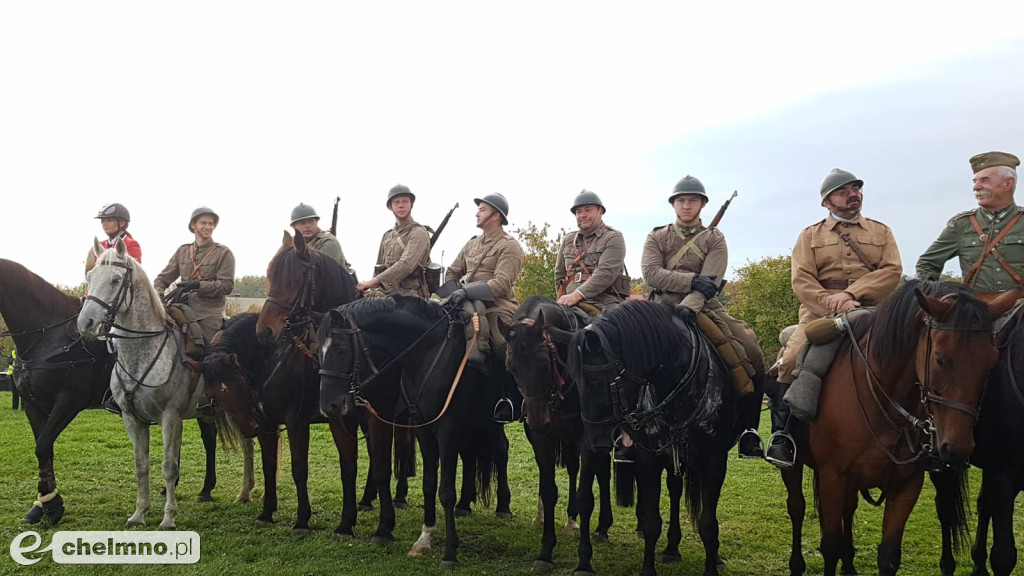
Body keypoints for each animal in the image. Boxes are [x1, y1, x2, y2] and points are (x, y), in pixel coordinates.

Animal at [319, 295, 512, 569]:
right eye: (319, 351)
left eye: (341, 348)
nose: (328, 406)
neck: (427, 355)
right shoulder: (422, 427)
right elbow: (429, 483)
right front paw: (424, 538)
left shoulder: (444, 428)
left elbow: (444, 490)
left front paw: (449, 552)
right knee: (473, 455)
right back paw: (466, 504)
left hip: (488, 421)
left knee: (501, 450)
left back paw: (504, 506)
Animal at [503, 295, 614, 569]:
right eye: (511, 368)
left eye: (544, 365)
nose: (537, 421)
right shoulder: (542, 439)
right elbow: (549, 491)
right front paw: (545, 552)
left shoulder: (587, 439)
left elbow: (586, 497)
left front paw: (584, 561)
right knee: (577, 468)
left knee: (603, 473)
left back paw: (602, 528)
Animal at [569, 295, 745, 573]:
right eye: (575, 382)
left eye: (596, 382)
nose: (594, 440)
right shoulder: (648, 459)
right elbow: (652, 522)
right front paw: (648, 569)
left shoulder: (715, 462)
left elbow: (708, 524)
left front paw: (711, 567)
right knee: (674, 490)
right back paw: (672, 548)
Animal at [774, 278, 1015, 573]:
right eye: (939, 359)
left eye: (991, 362)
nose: (957, 448)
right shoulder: (833, 478)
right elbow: (829, 547)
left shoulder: (906, 487)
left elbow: (888, 556)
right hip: (795, 468)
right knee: (796, 507)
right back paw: (797, 563)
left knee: (848, 510)